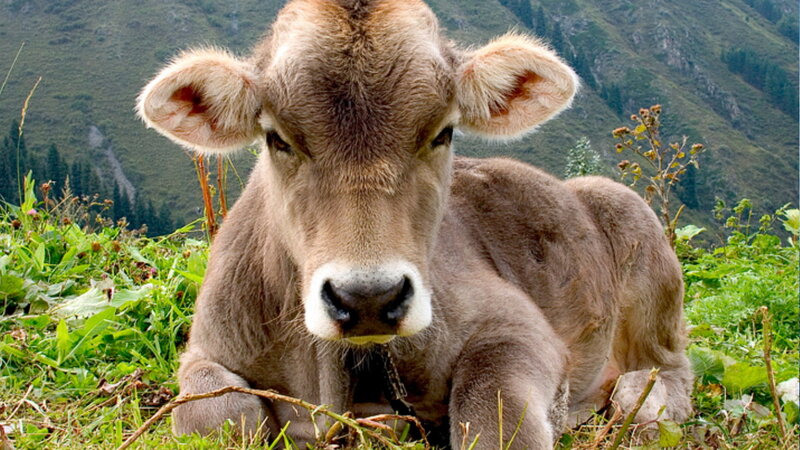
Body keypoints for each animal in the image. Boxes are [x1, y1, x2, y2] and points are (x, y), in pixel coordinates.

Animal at [137, 0, 693, 447]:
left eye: (443, 133)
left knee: (670, 368)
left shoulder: (518, 326)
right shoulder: (208, 348)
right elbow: (216, 412)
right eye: (278, 139)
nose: (367, 298)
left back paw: (639, 401)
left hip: (640, 242)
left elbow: (494, 414)